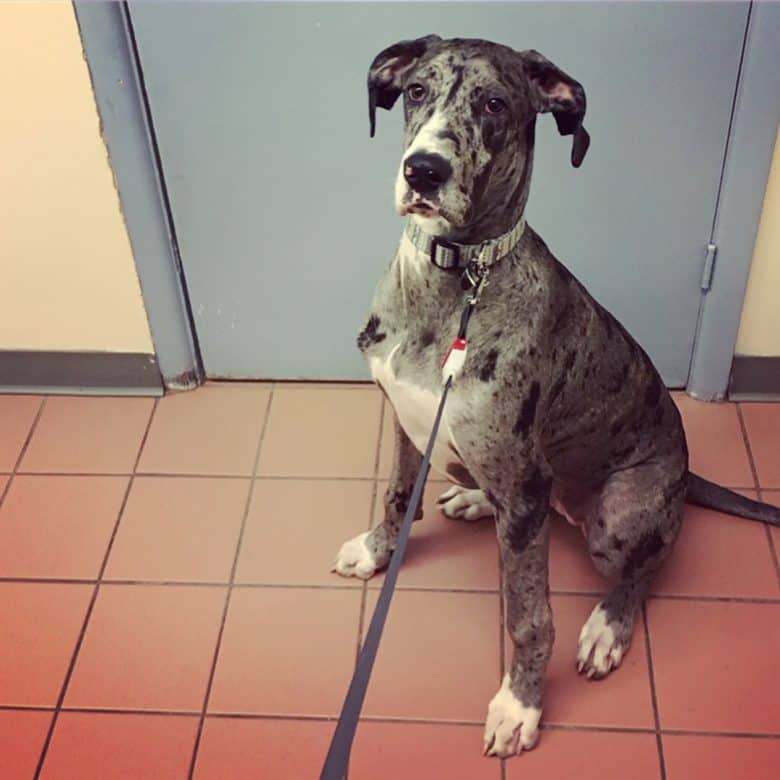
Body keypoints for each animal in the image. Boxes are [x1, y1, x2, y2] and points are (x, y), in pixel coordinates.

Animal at [330, 35, 780, 756]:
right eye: (416, 90)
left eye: (494, 104)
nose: (423, 170)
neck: (457, 281)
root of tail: (687, 475)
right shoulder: (404, 417)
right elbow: (399, 494)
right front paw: (377, 551)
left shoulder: (524, 492)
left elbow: (530, 617)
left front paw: (521, 705)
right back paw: (474, 499)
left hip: (615, 518)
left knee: (647, 564)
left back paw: (605, 628)